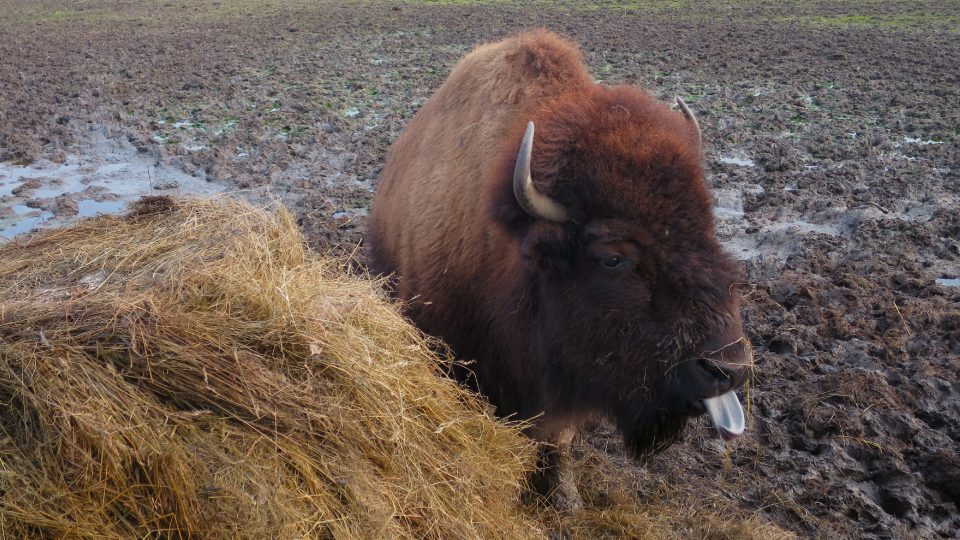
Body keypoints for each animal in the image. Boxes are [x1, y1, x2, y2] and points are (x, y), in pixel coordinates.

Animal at [368, 30, 752, 510]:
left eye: (707, 227)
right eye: (612, 256)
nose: (729, 367)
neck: (516, 255)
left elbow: (557, 440)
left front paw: (566, 500)